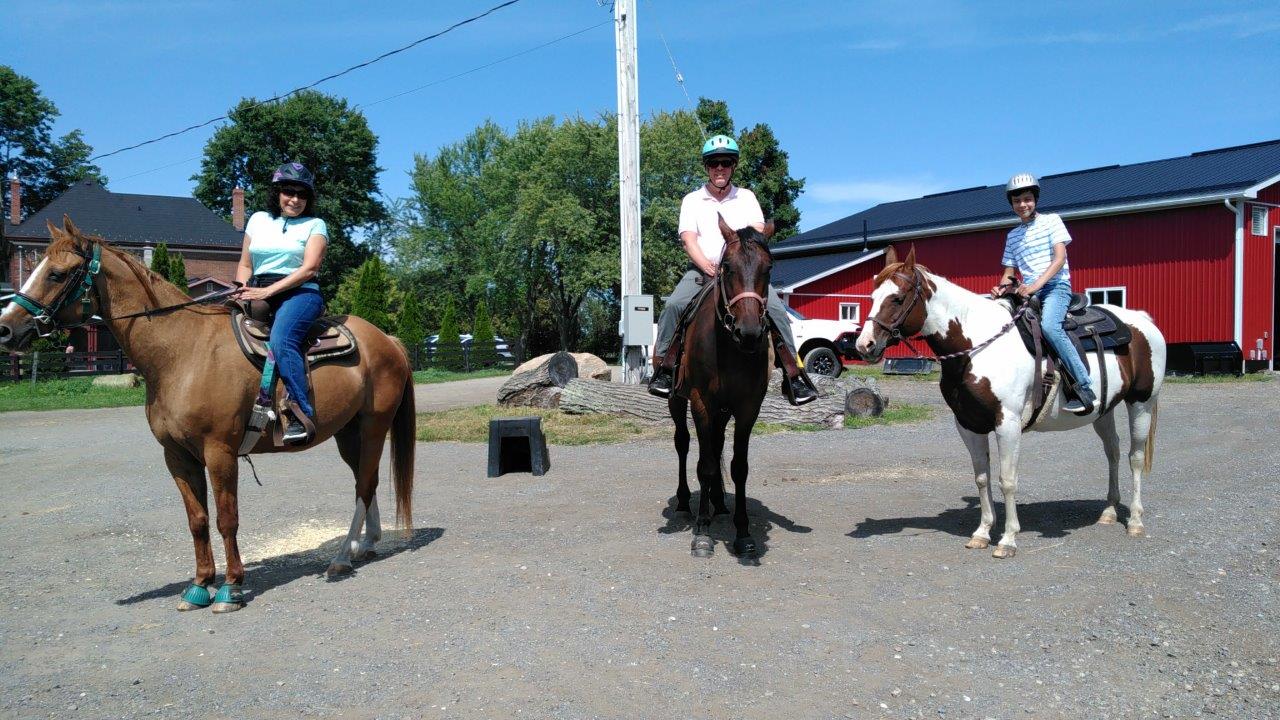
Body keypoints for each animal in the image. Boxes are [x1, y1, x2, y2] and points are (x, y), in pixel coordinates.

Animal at [1, 215, 414, 607]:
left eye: (57, 273)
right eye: (36, 267)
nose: (5, 328)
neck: (182, 353)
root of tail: (386, 339)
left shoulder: (220, 452)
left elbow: (226, 519)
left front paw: (230, 589)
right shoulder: (177, 456)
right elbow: (197, 520)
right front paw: (199, 586)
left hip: (373, 426)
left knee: (364, 484)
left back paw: (343, 556)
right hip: (348, 432)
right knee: (366, 480)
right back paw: (366, 543)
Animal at [670, 212, 778, 556]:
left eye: (768, 267)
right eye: (727, 266)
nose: (750, 331)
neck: (730, 347)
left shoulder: (747, 407)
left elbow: (738, 466)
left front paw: (743, 532)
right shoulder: (701, 403)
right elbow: (704, 464)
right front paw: (702, 532)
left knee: (716, 445)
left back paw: (718, 501)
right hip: (677, 401)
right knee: (683, 443)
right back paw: (684, 502)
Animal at [855, 245, 1167, 556]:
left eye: (897, 298)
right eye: (872, 297)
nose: (864, 345)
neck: (976, 347)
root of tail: (1143, 321)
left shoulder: (1008, 424)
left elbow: (1007, 480)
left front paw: (1007, 539)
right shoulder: (968, 425)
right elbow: (982, 478)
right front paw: (982, 532)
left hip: (1141, 403)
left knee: (1135, 457)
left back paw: (1135, 521)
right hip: (1104, 410)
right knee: (1112, 452)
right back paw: (1109, 512)